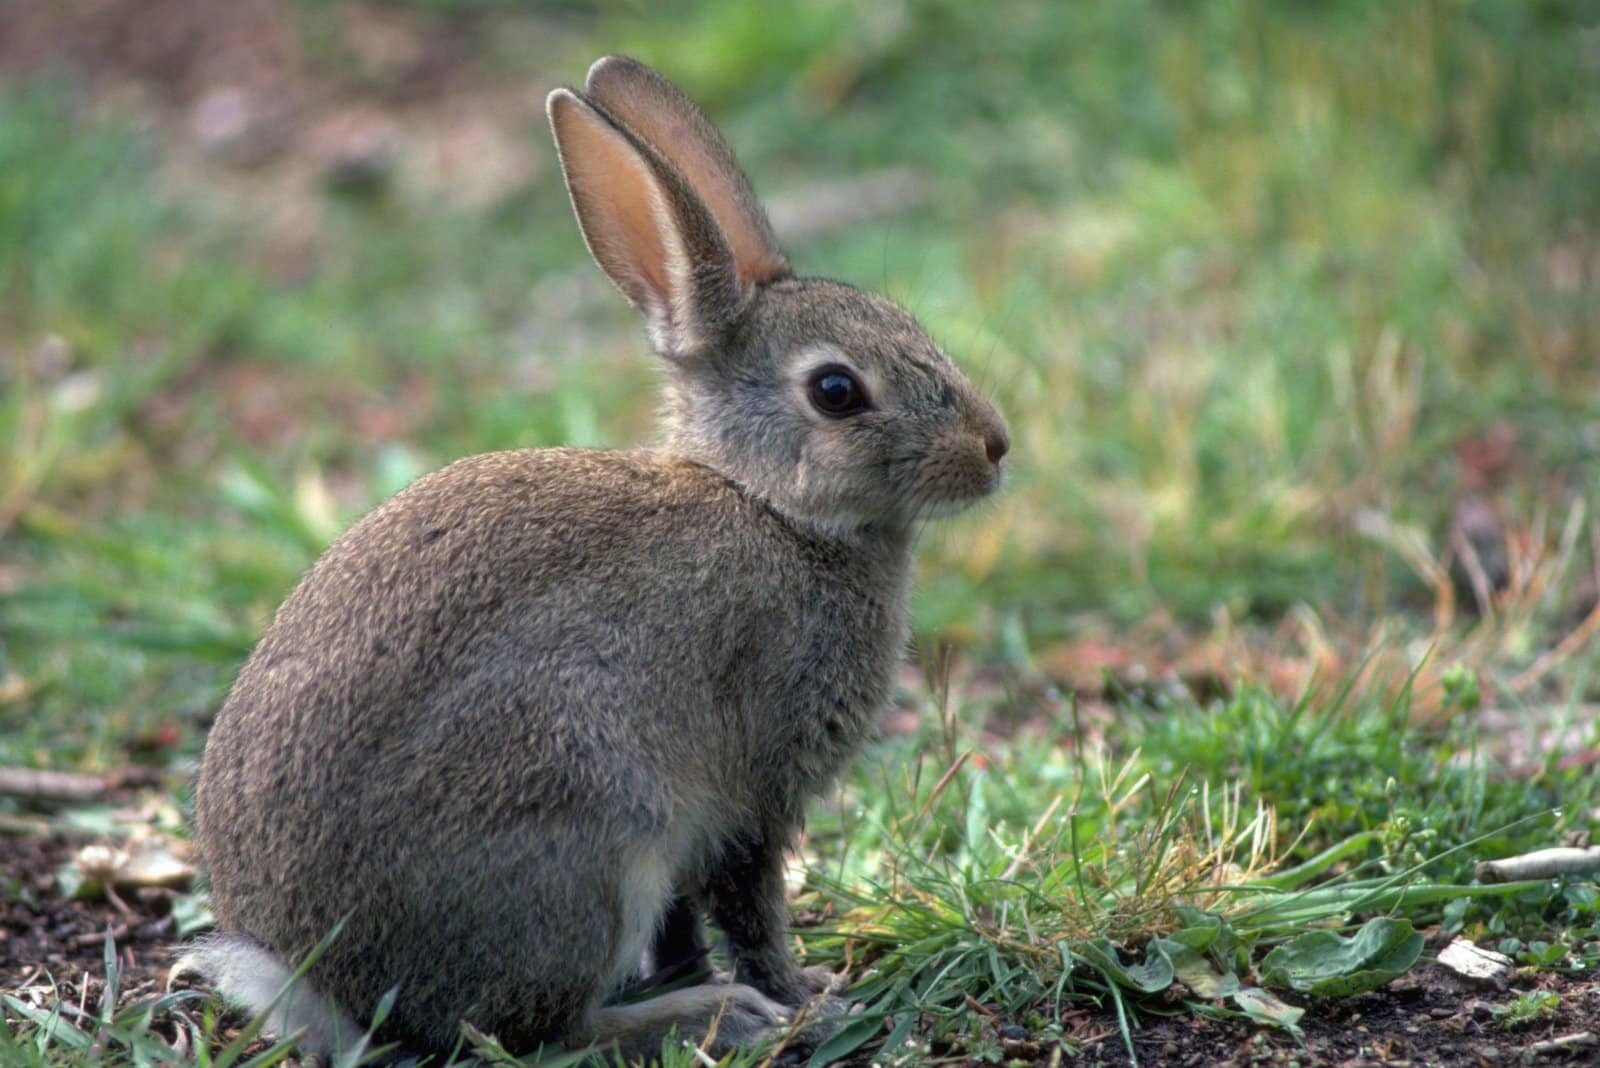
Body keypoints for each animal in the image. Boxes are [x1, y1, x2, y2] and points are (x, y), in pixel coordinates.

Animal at [179, 54, 1009, 1061]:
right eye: (838, 391)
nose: (994, 447)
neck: (772, 509)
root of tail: (321, 984)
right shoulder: (754, 792)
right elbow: (751, 908)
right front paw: (810, 997)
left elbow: (688, 925)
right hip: (591, 833)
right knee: (530, 1032)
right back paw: (710, 1016)